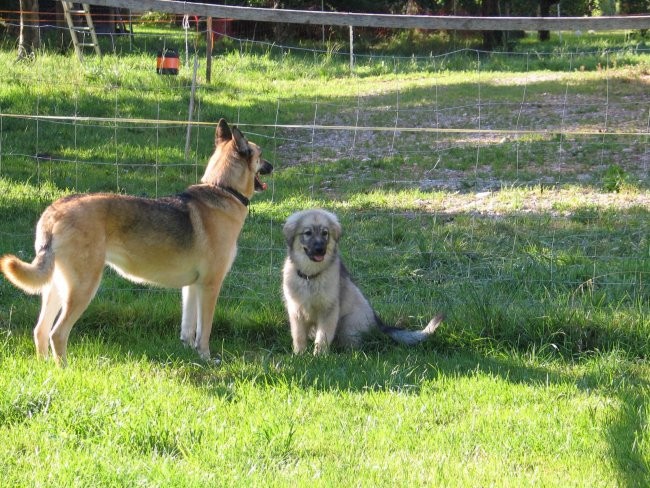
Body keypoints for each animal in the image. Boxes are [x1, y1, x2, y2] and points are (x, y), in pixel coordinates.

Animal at [0, 118, 270, 364]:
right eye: (260, 154)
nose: (272, 166)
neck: (222, 189)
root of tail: (55, 211)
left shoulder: (193, 286)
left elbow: (188, 328)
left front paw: (188, 352)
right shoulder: (210, 286)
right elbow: (204, 331)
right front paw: (205, 357)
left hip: (57, 286)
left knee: (41, 330)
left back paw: (46, 367)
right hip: (83, 288)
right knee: (57, 333)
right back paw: (64, 370)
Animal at [280, 209, 440, 354]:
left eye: (325, 233)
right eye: (307, 233)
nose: (320, 249)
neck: (310, 276)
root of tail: (379, 324)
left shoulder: (328, 311)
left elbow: (323, 337)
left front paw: (319, 356)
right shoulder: (296, 311)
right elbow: (299, 336)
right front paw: (299, 355)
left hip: (348, 324)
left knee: (353, 344)